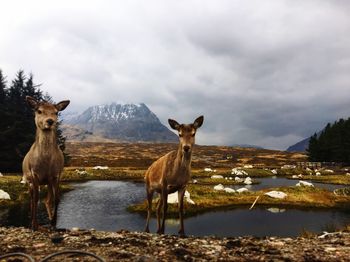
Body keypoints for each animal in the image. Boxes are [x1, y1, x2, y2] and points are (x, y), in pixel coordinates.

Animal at [21, 95, 69, 229]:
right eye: (39, 111)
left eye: (56, 112)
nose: (50, 121)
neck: (46, 164)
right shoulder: (34, 173)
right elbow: (35, 199)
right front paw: (34, 225)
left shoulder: (56, 174)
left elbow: (56, 198)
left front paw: (54, 222)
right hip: (27, 180)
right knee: (32, 199)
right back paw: (32, 221)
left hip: (47, 182)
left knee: (47, 200)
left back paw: (50, 220)